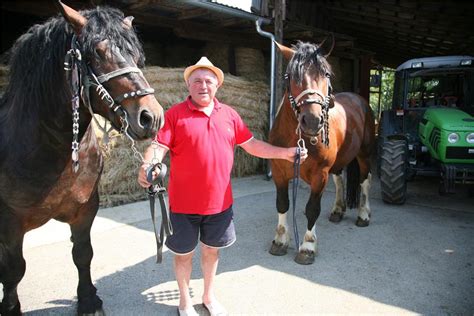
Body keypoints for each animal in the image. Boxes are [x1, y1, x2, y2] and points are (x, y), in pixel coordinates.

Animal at [0, 1, 164, 314]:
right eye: (97, 53)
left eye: (136, 55)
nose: (151, 117)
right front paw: (11, 307)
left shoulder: (85, 209)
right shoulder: (10, 222)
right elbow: (14, 270)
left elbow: (83, 254)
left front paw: (88, 300)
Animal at [268, 41, 376, 264]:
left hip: (364, 154)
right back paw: (338, 210)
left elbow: (312, 209)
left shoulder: (320, 174)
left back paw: (363, 214)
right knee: (340, 180)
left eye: (326, 74)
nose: (312, 121)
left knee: (365, 180)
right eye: (291, 75)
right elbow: (282, 204)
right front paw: (280, 241)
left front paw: (307, 246)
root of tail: (358, 99)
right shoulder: (279, 172)